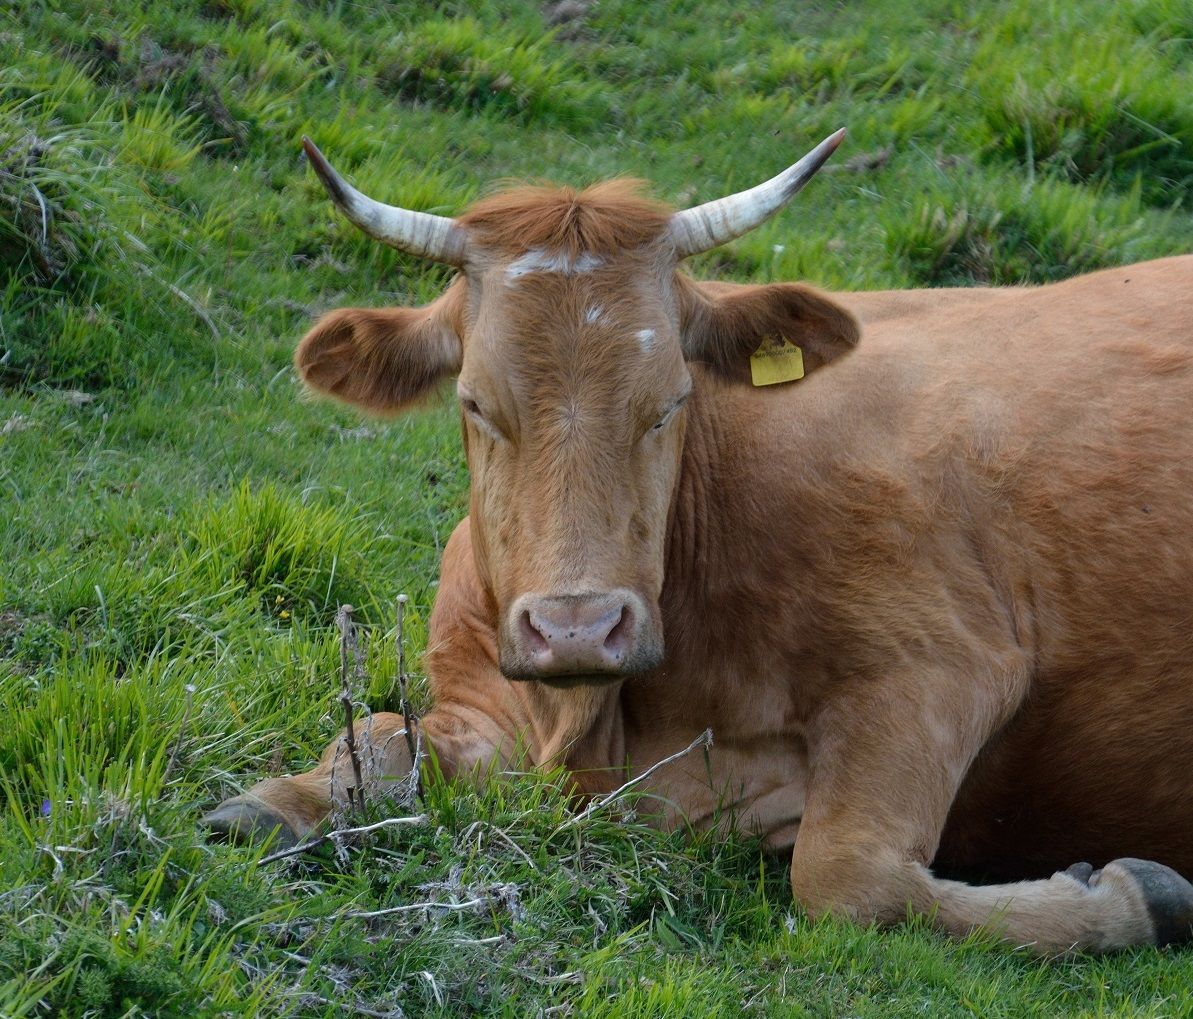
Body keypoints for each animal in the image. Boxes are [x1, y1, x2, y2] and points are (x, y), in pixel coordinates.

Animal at [205, 129, 1193, 953]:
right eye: (477, 401)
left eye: (669, 400)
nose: (575, 628)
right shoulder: (484, 697)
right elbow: (373, 738)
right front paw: (268, 803)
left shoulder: (942, 664)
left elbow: (845, 873)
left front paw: (1131, 896)